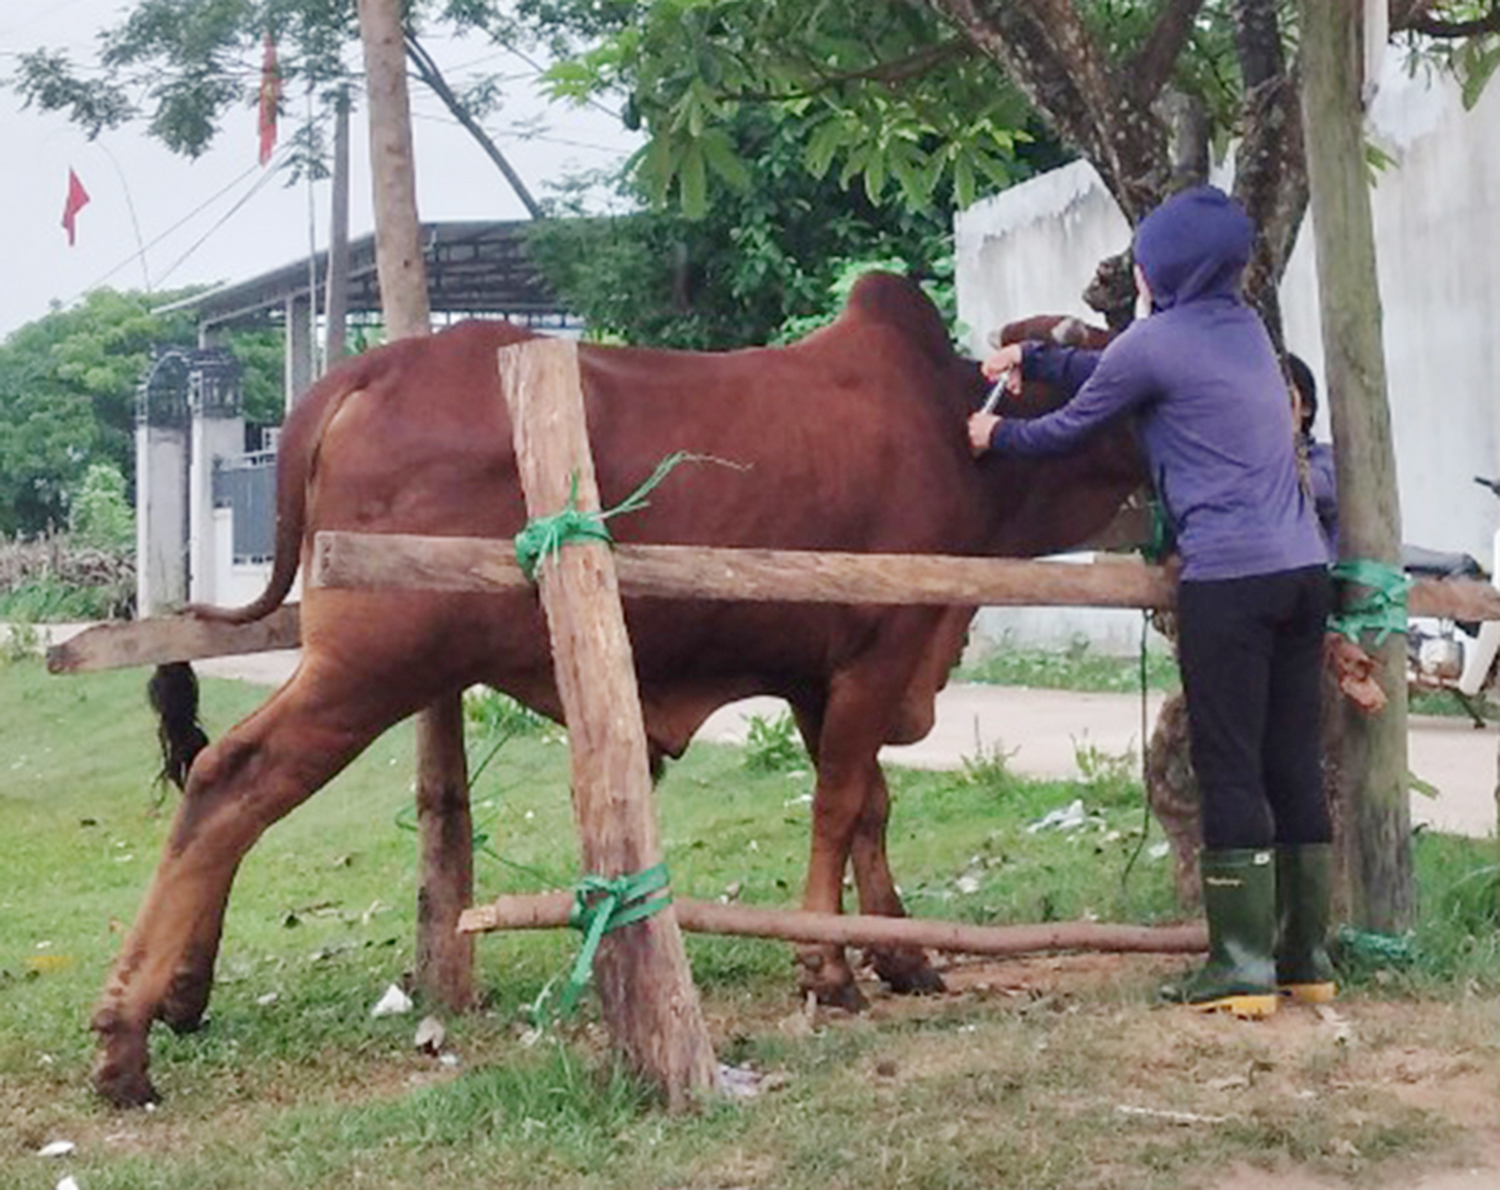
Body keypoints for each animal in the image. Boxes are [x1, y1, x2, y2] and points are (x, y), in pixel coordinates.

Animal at [93, 274, 1140, 1098]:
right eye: (1102, 353)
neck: (959, 437)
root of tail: (364, 373)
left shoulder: (819, 678)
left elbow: (869, 810)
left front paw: (903, 953)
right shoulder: (880, 655)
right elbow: (841, 806)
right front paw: (828, 968)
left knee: (218, 790)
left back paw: (178, 995)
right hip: (370, 665)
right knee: (230, 780)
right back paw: (124, 1039)